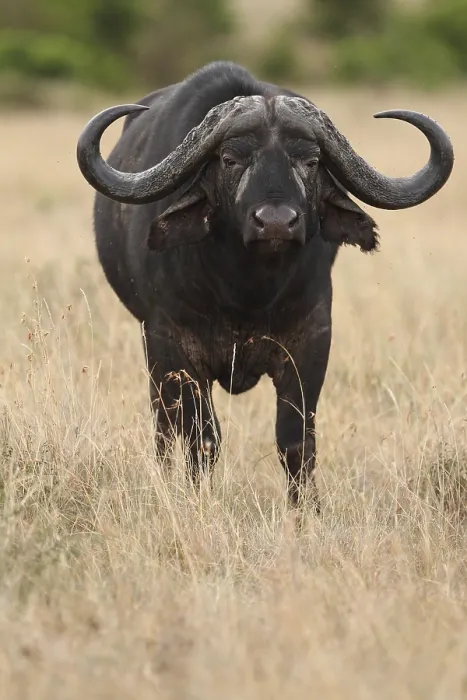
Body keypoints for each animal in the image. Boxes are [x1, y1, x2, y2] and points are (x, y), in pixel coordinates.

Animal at [76, 61, 454, 511]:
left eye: (310, 161)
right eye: (230, 159)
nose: (275, 222)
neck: (247, 292)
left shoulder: (311, 341)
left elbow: (295, 440)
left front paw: (306, 510)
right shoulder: (172, 345)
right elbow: (201, 438)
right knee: (165, 425)